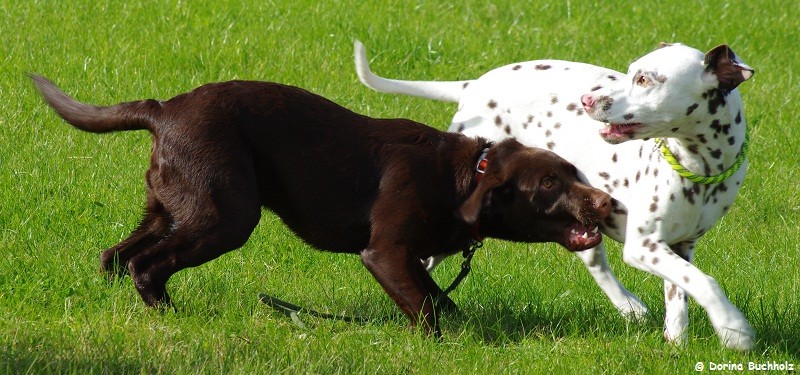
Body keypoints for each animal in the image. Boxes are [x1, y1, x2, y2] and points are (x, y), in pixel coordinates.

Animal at [28, 75, 608, 334]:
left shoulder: (410, 258)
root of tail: (163, 110)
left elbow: (438, 299)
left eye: (572, 172)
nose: (604, 203)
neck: (464, 176)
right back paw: (173, 317)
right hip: (226, 216)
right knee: (148, 265)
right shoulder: (386, 253)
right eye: (548, 185)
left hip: (173, 209)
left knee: (115, 256)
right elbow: (426, 310)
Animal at [354, 39, 756, 352]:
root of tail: (474, 85)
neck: (699, 168)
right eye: (630, 71)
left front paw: (677, 341)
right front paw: (733, 328)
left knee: (594, 261)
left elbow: (681, 292)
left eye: (644, 79)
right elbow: (705, 282)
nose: (587, 99)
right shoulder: (643, 246)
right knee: (418, 263)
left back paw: (628, 306)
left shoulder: (679, 245)